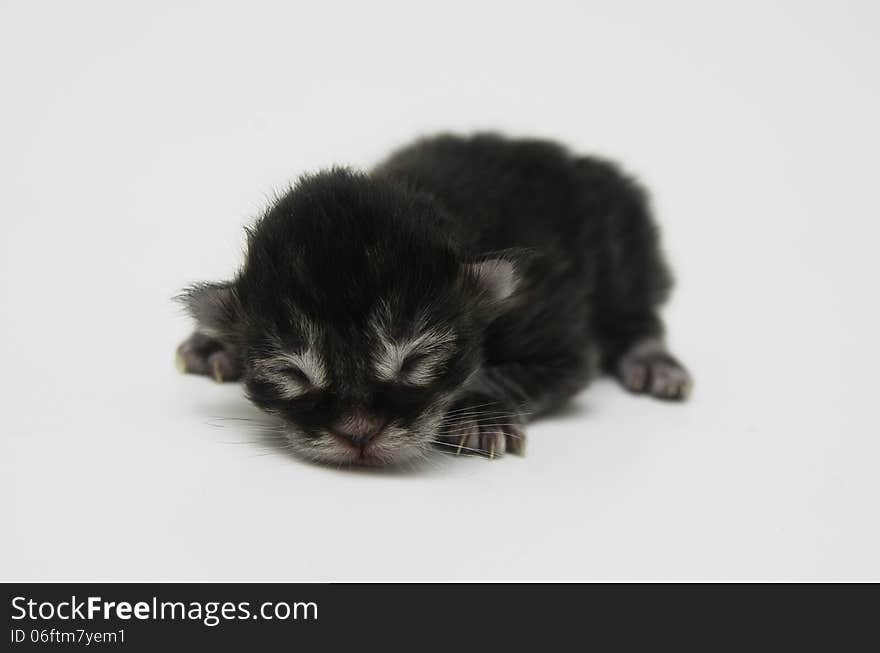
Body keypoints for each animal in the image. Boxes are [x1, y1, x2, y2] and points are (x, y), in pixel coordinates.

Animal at [175, 132, 692, 466]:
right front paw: (215, 341)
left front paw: (479, 412)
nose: (359, 434)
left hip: (626, 249)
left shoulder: (550, 330)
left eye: (414, 362)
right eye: (293, 374)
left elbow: (522, 372)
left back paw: (655, 363)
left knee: (639, 315)